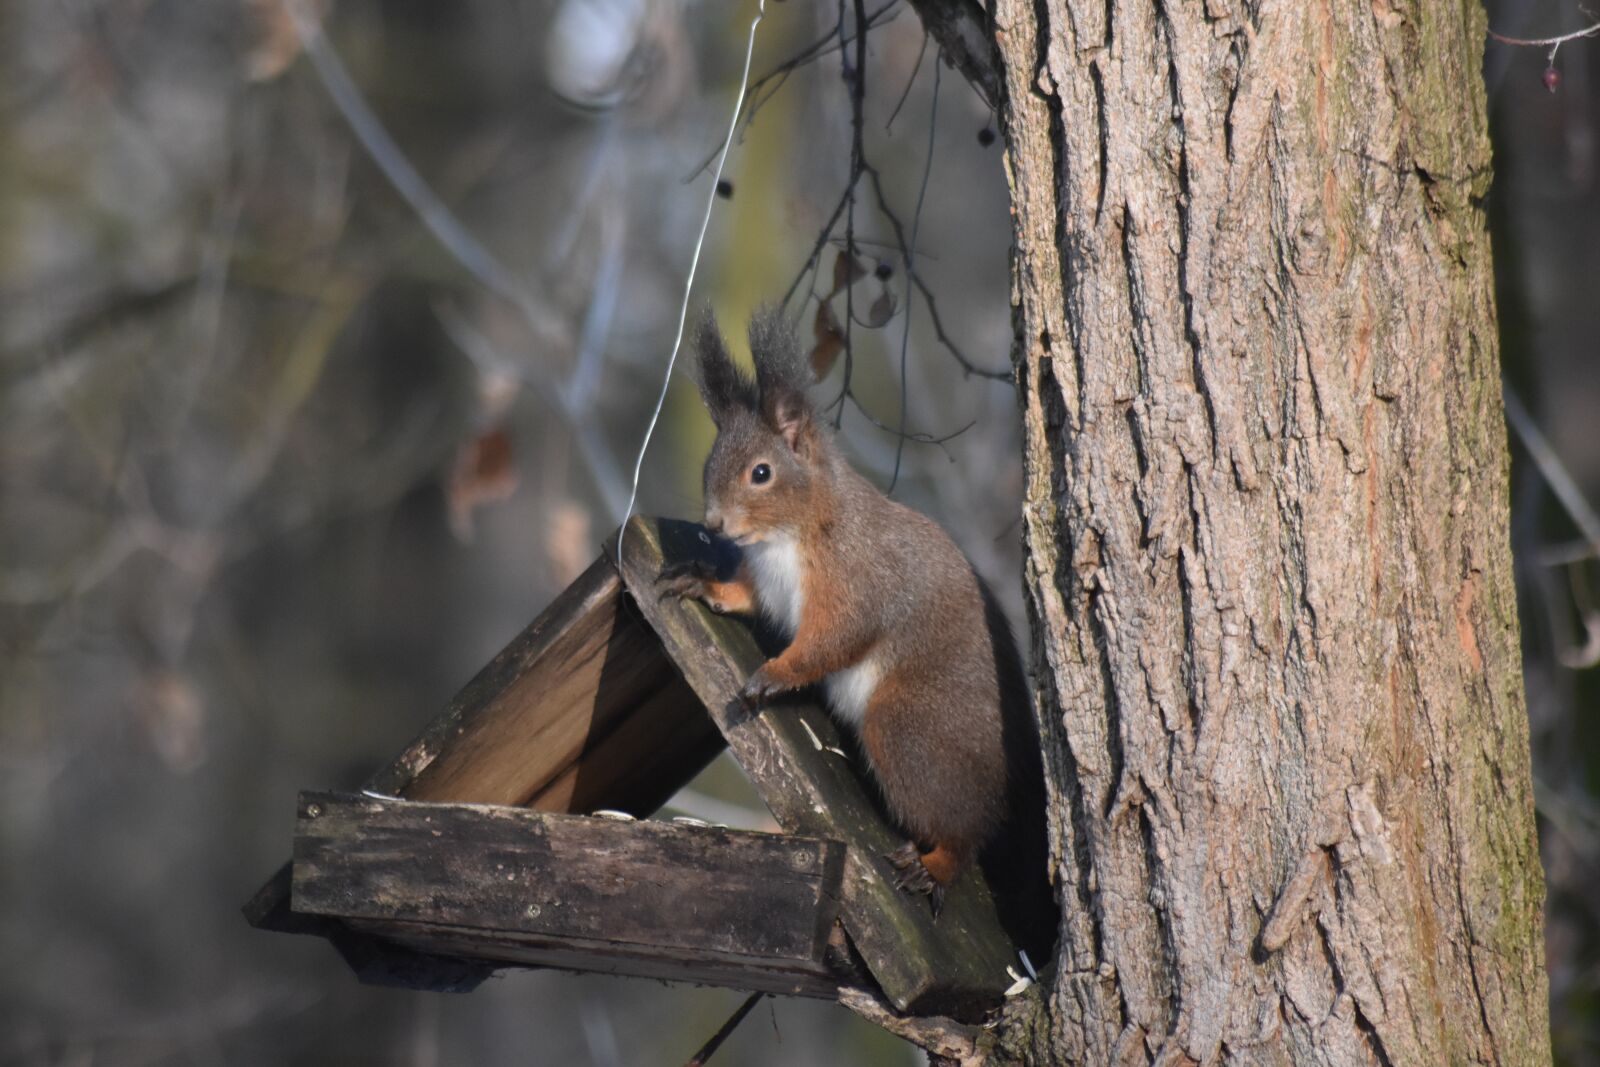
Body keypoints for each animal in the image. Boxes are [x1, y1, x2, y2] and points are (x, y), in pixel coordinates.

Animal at [658, 308, 1054, 946]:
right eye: (709, 464)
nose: (714, 523)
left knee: (966, 833)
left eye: (761, 473)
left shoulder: (854, 582)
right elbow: (745, 597)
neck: (790, 535)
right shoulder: (766, 585)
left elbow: (832, 641)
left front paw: (774, 673)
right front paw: (703, 584)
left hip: (908, 727)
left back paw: (936, 863)